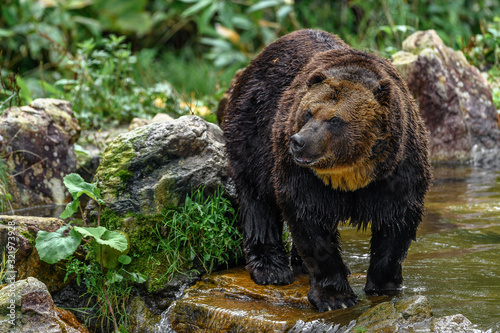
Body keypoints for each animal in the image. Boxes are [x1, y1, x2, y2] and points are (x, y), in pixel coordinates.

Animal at [221, 29, 432, 312]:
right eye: (308, 112)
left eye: (335, 119)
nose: (299, 141)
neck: (351, 172)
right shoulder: (302, 175)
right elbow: (310, 221)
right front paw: (335, 297)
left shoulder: (398, 169)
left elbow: (396, 222)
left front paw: (385, 285)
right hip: (252, 131)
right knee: (257, 200)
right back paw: (271, 269)